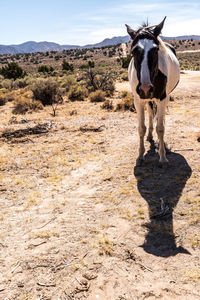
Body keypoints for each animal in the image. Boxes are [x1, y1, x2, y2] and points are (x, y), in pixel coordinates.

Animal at [125, 17, 180, 166]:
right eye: (133, 51)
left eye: (155, 50)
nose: (145, 88)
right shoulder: (138, 100)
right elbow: (141, 128)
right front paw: (140, 156)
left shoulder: (162, 98)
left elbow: (160, 128)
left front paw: (163, 157)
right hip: (148, 99)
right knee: (150, 113)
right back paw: (150, 136)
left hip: (164, 97)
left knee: (161, 118)